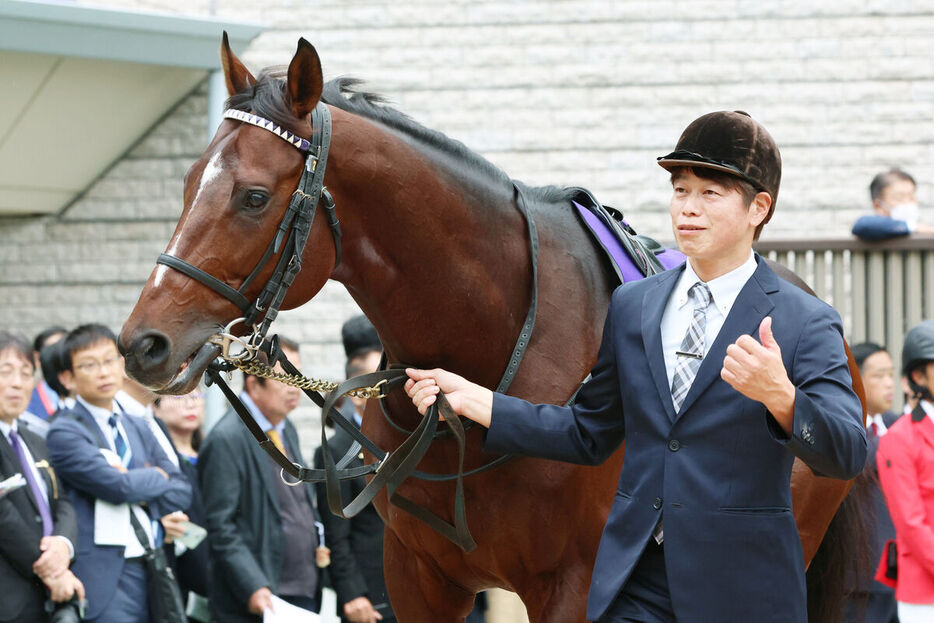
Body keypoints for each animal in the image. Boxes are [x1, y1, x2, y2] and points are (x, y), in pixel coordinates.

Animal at [120, 36, 872, 620]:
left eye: (253, 197)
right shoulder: (419, 576)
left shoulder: (574, 586)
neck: (495, 340)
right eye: (188, 182)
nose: (142, 343)